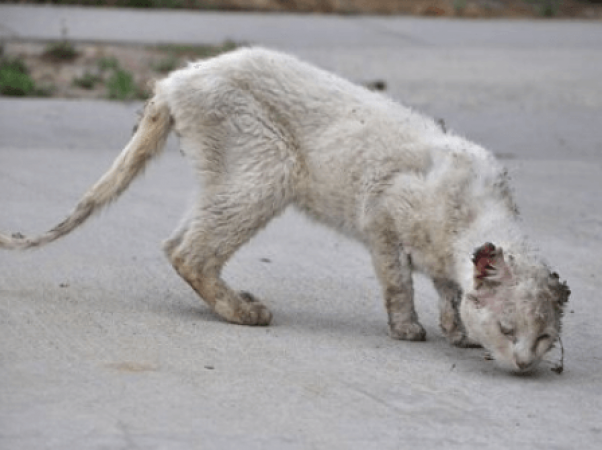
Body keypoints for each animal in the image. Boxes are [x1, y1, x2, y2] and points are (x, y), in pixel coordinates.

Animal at [0, 46, 564, 372]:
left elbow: (449, 291)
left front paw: (456, 332)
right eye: (508, 330)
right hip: (270, 167)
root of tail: (178, 76)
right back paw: (245, 313)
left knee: (178, 242)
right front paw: (408, 330)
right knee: (188, 252)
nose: (522, 364)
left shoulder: (443, 259)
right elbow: (398, 282)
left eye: (543, 338)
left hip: (235, 176)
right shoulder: (381, 216)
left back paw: (236, 298)